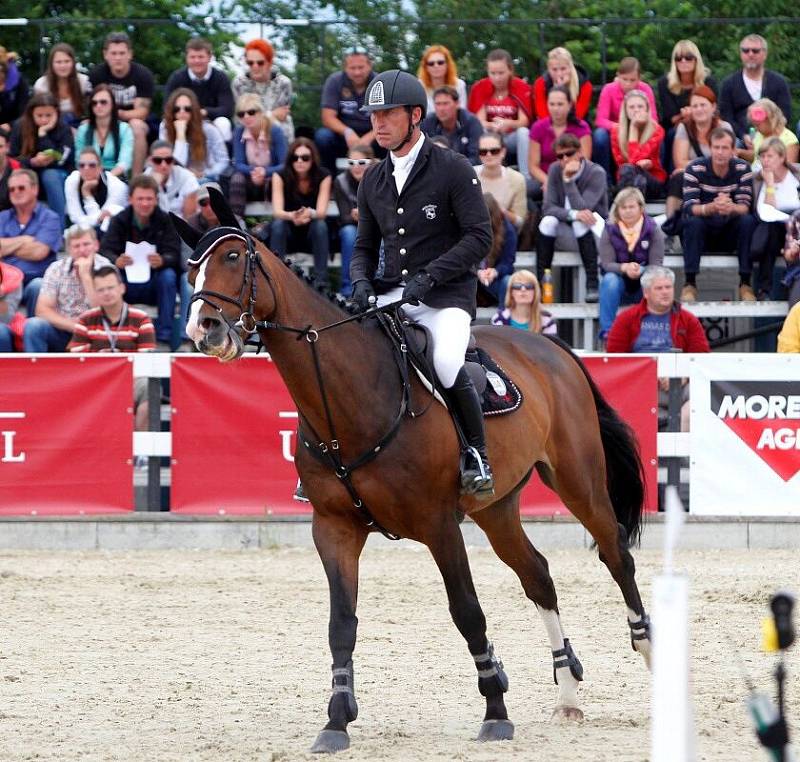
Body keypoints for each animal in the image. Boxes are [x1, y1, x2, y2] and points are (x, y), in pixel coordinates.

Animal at [172, 187, 652, 752]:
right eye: (190, 268)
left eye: (233, 257)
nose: (204, 330)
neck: (353, 396)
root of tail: (549, 347)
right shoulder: (334, 529)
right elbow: (342, 623)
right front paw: (336, 719)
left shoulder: (439, 524)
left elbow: (466, 611)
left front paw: (495, 710)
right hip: (496, 510)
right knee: (538, 575)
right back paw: (568, 692)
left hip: (578, 481)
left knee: (615, 552)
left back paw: (648, 650)